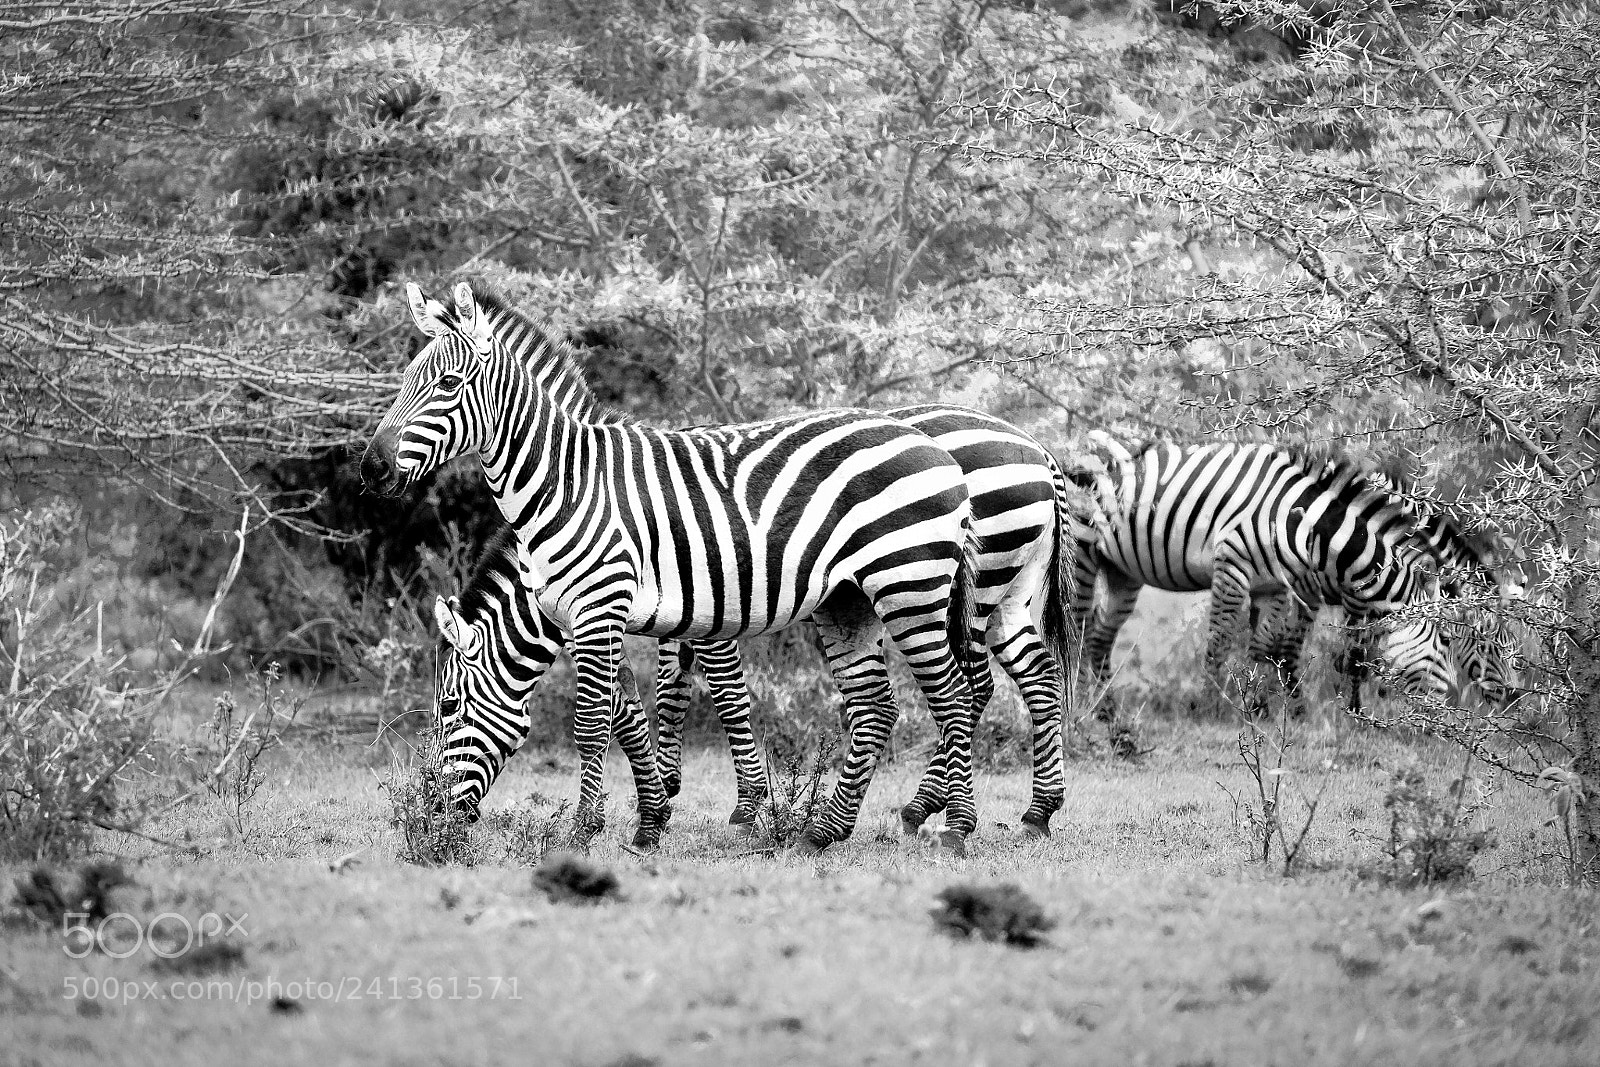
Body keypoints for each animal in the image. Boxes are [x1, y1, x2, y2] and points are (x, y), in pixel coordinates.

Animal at [363, 281, 981, 853]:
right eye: (405, 379)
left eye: (447, 385)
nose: (371, 468)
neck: (567, 485)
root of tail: (927, 443)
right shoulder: (590, 617)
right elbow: (628, 715)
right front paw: (651, 819)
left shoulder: (606, 607)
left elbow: (594, 721)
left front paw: (586, 831)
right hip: (847, 602)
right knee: (876, 708)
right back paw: (824, 832)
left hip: (909, 586)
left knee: (955, 694)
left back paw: (953, 825)